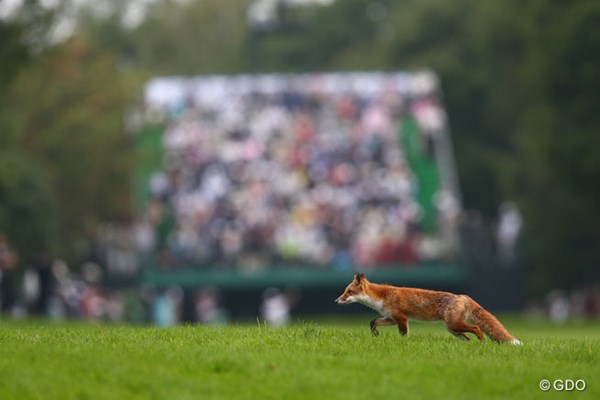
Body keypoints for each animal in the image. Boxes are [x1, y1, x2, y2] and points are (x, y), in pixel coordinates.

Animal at [336, 274, 524, 346]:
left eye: (348, 292)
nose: (336, 300)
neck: (382, 297)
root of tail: (462, 296)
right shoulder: (391, 318)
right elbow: (373, 321)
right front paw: (375, 333)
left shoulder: (402, 318)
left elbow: (404, 335)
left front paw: (404, 345)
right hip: (453, 329)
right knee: (468, 337)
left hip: (454, 325)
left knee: (477, 328)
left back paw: (483, 343)